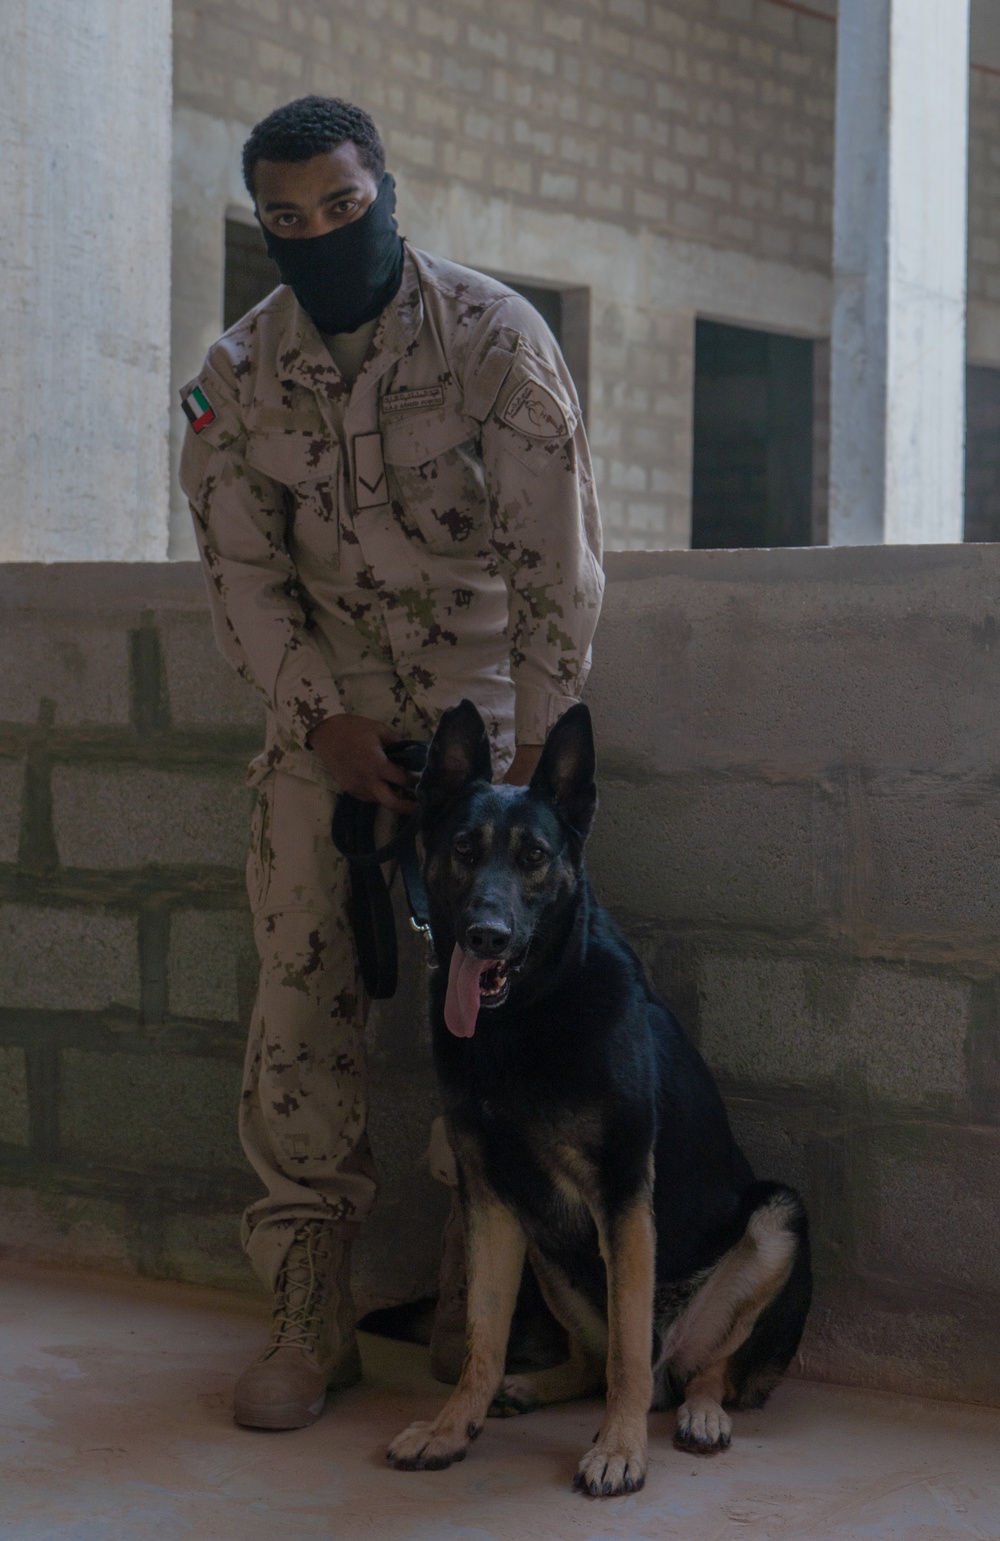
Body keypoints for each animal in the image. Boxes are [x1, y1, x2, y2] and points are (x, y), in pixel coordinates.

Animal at [386, 699, 807, 1491]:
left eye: (533, 856)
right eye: (463, 849)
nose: (486, 936)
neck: (524, 1018)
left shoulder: (622, 1193)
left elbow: (627, 1355)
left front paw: (618, 1447)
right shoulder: (490, 1194)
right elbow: (484, 1337)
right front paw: (454, 1427)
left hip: (778, 1218)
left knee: (700, 1366)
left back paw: (701, 1412)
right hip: (545, 1240)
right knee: (590, 1357)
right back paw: (529, 1386)